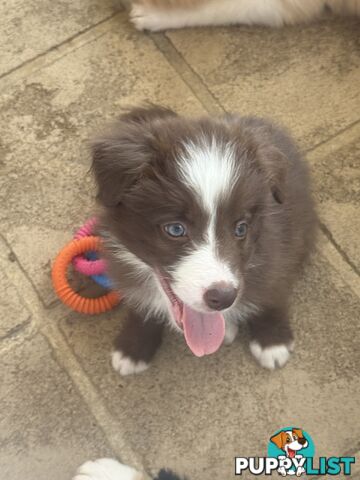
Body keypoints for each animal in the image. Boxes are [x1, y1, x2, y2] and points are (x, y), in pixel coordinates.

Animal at [92, 107, 316, 376]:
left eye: (241, 228)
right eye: (175, 229)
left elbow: (273, 292)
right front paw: (133, 347)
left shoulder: (276, 249)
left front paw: (273, 340)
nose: (224, 298)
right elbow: (140, 306)